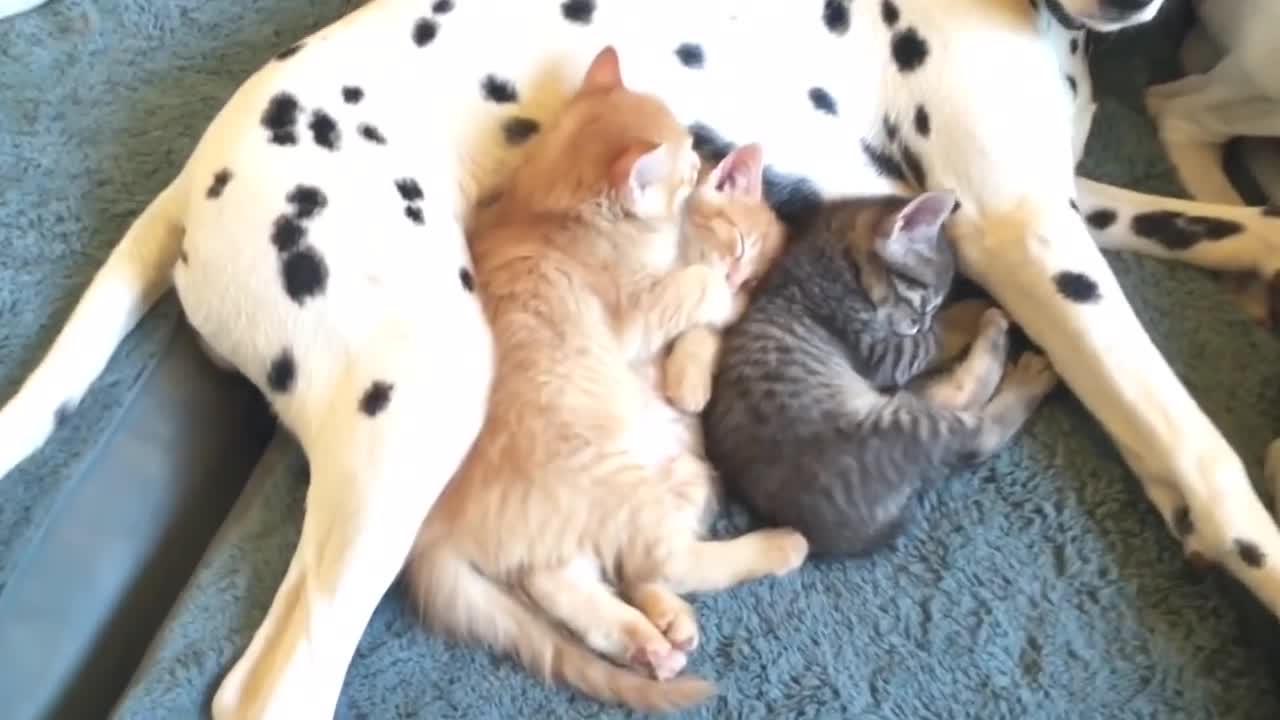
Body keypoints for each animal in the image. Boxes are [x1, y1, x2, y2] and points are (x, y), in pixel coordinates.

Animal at [404, 46, 803, 712]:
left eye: (754, 272)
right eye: (740, 247)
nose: (744, 283)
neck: (545, 213)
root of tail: (438, 526)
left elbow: (702, 330)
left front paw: (693, 370)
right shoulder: (637, 313)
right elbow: (696, 292)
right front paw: (714, 302)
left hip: (681, 475)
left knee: (590, 573)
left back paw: (652, 632)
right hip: (619, 483)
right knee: (668, 563)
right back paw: (777, 547)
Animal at [701, 189, 1059, 556]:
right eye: (925, 304)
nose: (920, 324)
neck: (834, 252)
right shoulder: (883, 350)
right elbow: (938, 336)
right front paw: (970, 310)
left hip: (897, 406)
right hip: (901, 425)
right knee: (981, 429)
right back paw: (1018, 361)